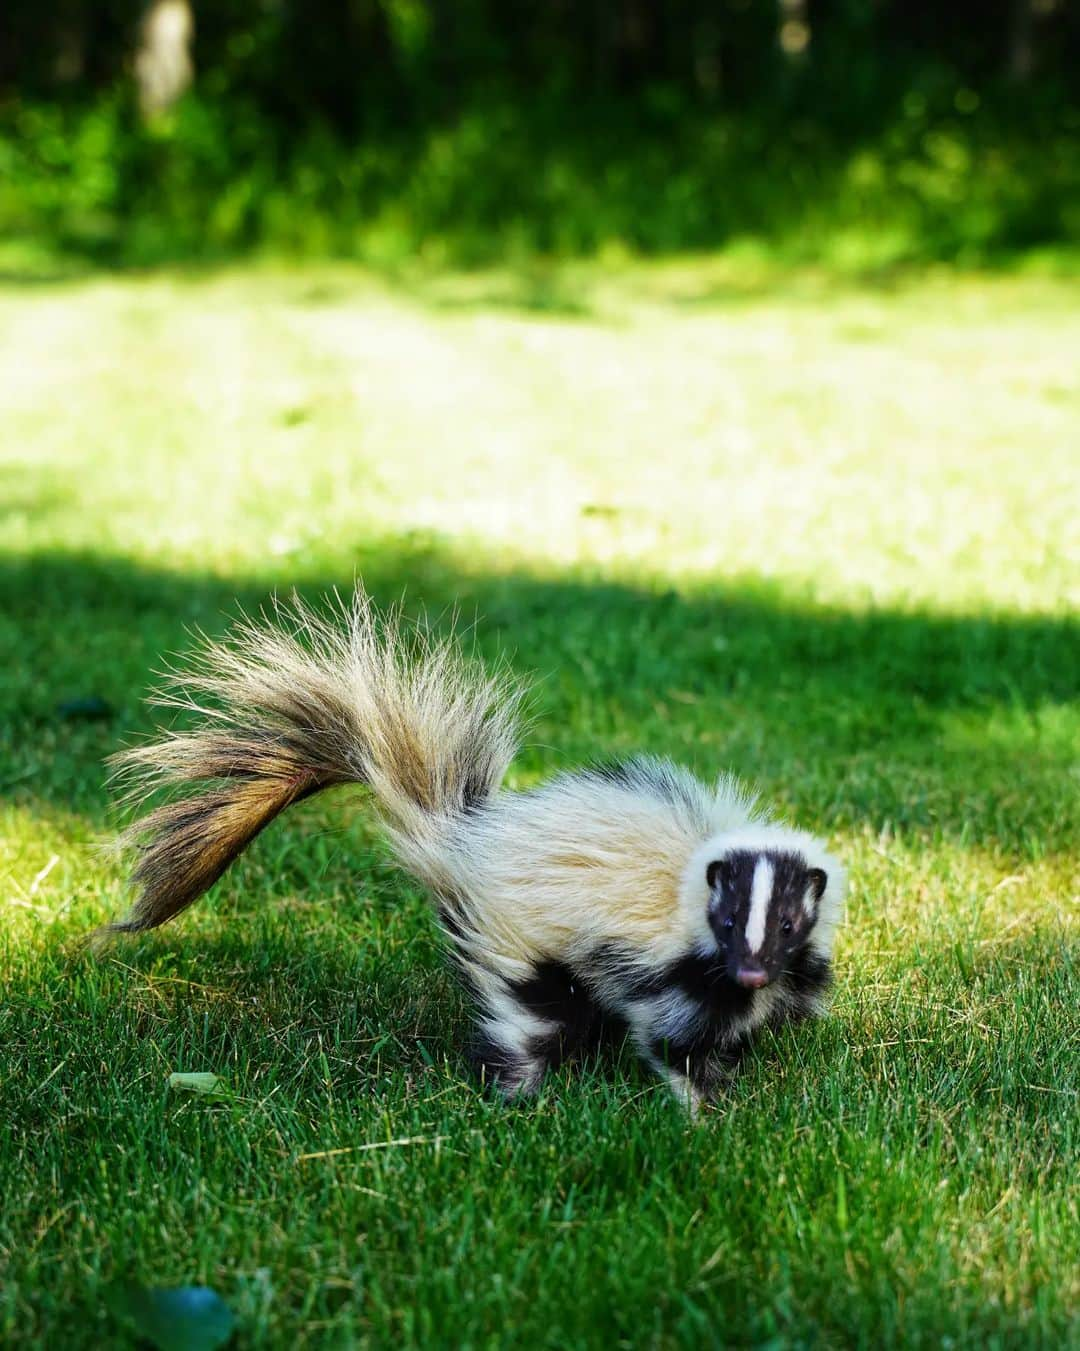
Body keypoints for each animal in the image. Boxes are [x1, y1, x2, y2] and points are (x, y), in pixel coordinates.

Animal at [112, 594, 854, 1107]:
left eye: (789, 926)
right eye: (726, 922)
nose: (752, 972)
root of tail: (465, 838)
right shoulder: (671, 971)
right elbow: (672, 1037)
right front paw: (703, 1106)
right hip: (524, 946)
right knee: (528, 1022)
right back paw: (517, 1098)